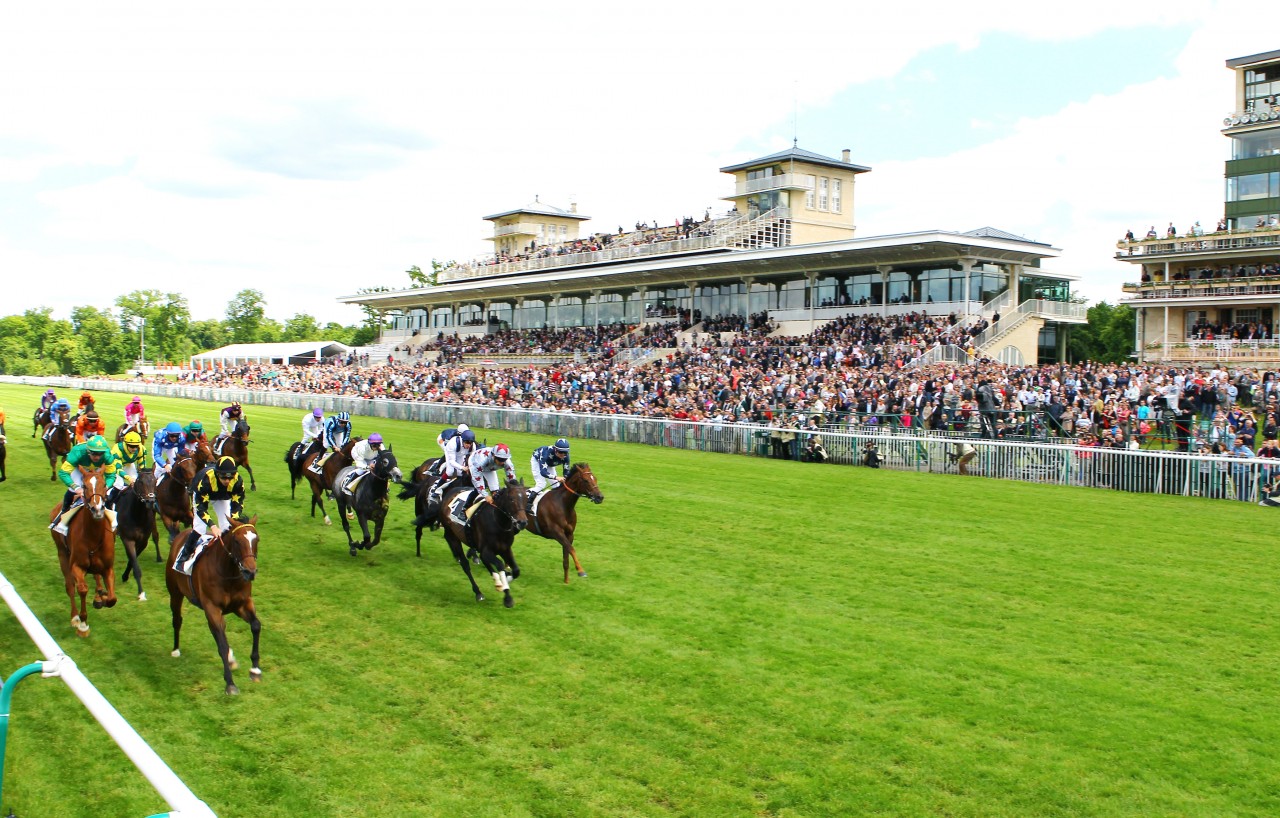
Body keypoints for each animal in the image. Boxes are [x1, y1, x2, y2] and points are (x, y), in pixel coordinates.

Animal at [49, 465, 117, 634]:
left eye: (104, 484)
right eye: (85, 486)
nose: (97, 509)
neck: (93, 536)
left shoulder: (108, 567)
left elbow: (112, 598)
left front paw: (102, 598)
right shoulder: (76, 566)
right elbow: (82, 589)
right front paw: (83, 623)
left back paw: (99, 594)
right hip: (62, 553)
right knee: (70, 587)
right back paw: (74, 617)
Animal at [116, 465, 161, 601]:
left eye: (155, 481)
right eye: (140, 482)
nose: (150, 501)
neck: (137, 516)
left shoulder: (143, 541)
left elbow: (132, 560)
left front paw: (125, 576)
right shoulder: (127, 539)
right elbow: (135, 565)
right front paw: (141, 593)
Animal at [166, 514, 263, 696]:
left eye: (257, 539)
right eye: (237, 541)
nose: (250, 572)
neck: (228, 573)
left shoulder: (242, 604)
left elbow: (255, 625)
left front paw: (255, 670)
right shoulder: (212, 608)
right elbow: (222, 644)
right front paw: (230, 683)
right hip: (175, 593)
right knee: (177, 620)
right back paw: (175, 650)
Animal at [435, 481, 524, 609]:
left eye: (526, 497)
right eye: (512, 499)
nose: (523, 522)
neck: (498, 522)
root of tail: (449, 493)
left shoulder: (505, 549)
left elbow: (516, 570)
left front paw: (507, 579)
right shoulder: (487, 550)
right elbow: (500, 565)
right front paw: (507, 597)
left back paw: (497, 581)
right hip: (453, 536)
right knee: (465, 565)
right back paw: (478, 592)